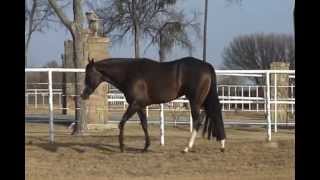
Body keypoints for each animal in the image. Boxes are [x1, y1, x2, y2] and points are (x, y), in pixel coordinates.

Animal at [81, 57, 226, 153]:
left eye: (88, 74)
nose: (83, 95)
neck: (129, 73)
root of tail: (206, 66)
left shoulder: (134, 104)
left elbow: (121, 123)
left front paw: (122, 146)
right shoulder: (140, 106)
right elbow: (144, 125)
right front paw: (146, 146)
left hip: (195, 101)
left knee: (197, 121)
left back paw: (187, 147)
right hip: (203, 100)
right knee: (214, 116)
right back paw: (222, 145)